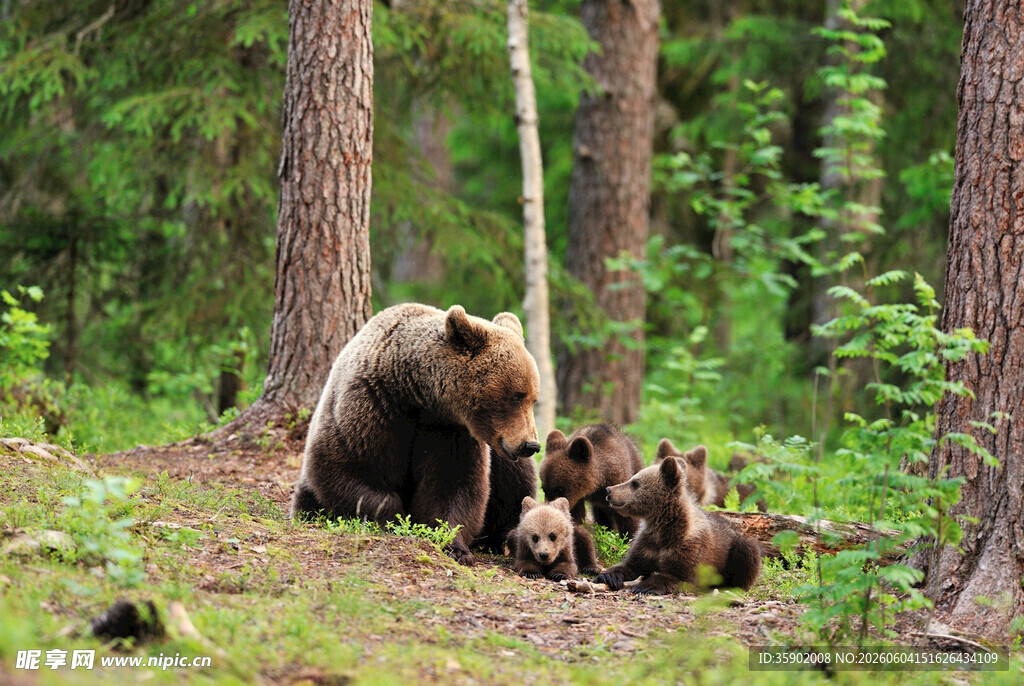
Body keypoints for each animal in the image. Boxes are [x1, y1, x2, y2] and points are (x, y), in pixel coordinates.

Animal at [291, 303, 542, 566]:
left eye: (533, 398)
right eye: (517, 396)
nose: (531, 445)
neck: (416, 394)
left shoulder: (450, 432)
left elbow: (453, 483)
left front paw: (455, 546)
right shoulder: (370, 407)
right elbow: (347, 467)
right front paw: (395, 518)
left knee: (516, 480)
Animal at [594, 456, 762, 594]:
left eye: (635, 483)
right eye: (632, 478)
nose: (609, 490)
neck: (663, 526)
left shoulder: (689, 547)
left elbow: (679, 576)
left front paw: (646, 586)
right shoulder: (647, 543)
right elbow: (632, 565)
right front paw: (608, 576)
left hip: (735, 548)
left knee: (748, 551)